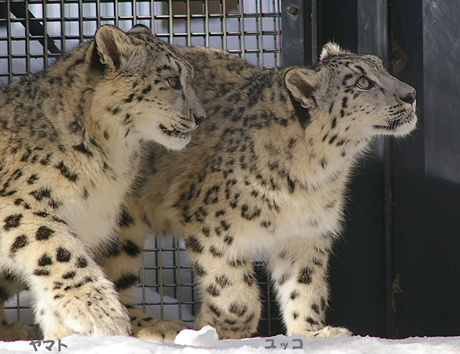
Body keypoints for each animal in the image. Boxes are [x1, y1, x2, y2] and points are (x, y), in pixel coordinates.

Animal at [0, 23, 205, 342]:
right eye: (172, 81)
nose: (200, 117)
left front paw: (66, 335)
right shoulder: (22, 206)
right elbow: (58, 251)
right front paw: (100, 312)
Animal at [107, 42, 416, 342]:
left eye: (381, 67)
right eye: (363, 82)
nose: (411, 94)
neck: (316, 174)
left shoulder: (305, 232)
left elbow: (304, 285)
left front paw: (311, 332)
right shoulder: (214, 226)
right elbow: (233, 293)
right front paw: (216, 330)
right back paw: (156, 328)